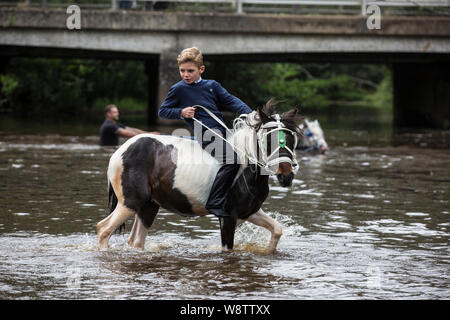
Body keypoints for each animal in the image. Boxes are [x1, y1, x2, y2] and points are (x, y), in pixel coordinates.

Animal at [95, 101, 300, 254]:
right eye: (267, 139)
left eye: (291, 139)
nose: (286, 176)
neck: (246, 169)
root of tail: (120, 152)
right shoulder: (228, 216)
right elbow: (228, 249)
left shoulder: (251, 211)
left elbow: (277, 230)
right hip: (130, 203)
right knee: (103, 229)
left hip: (148, 206)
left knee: (135, 241)